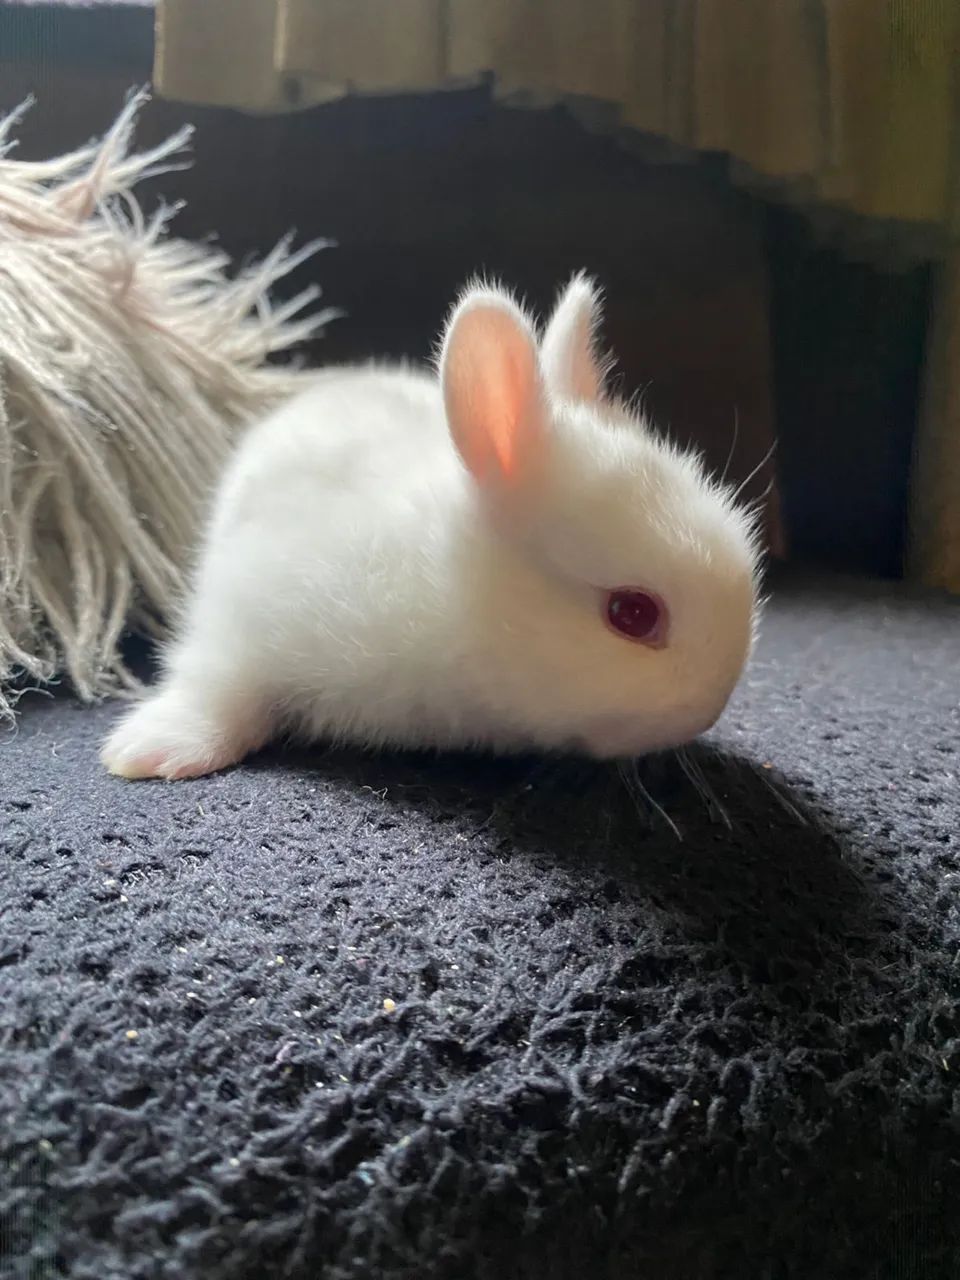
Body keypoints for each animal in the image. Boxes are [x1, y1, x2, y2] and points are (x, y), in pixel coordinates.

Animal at [101, 273, 762, 780]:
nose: (715, 703)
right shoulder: (243, 617)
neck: (452, 595)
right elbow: (221, 687)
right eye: (632, 613)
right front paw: (150, 751)